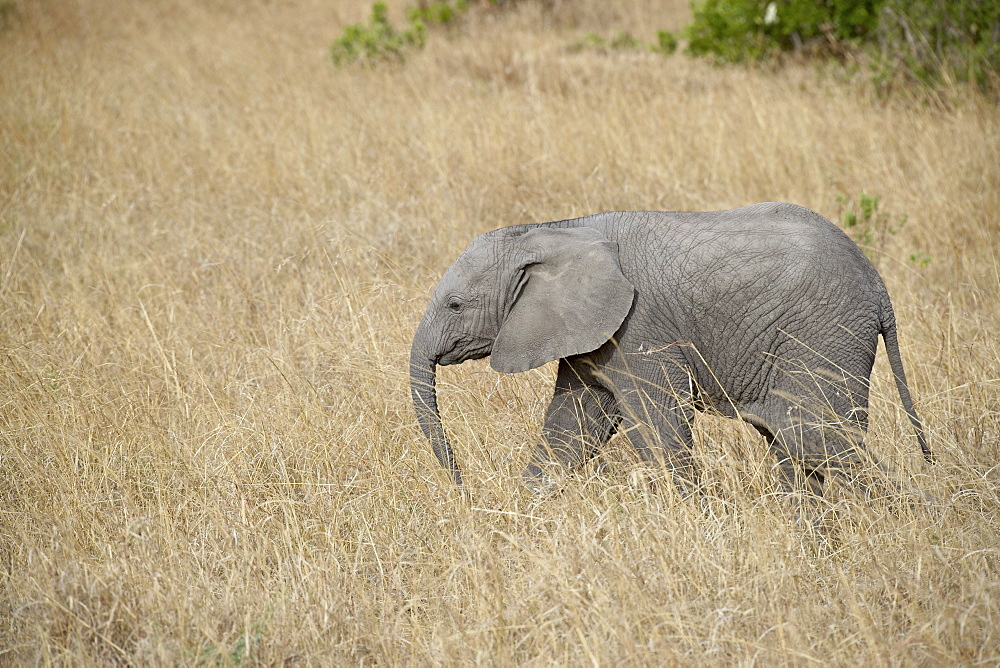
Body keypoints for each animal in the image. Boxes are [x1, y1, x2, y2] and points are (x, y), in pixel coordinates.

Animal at [408, 202, 928, 496]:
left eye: (456, 305)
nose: (463, 488)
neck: (556, 230)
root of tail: (878, 287)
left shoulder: (638, 328)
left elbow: (658, 431)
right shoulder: (592, 331)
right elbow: (572, 425)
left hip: (823, 334)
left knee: (817, 439)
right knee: (795, 445)